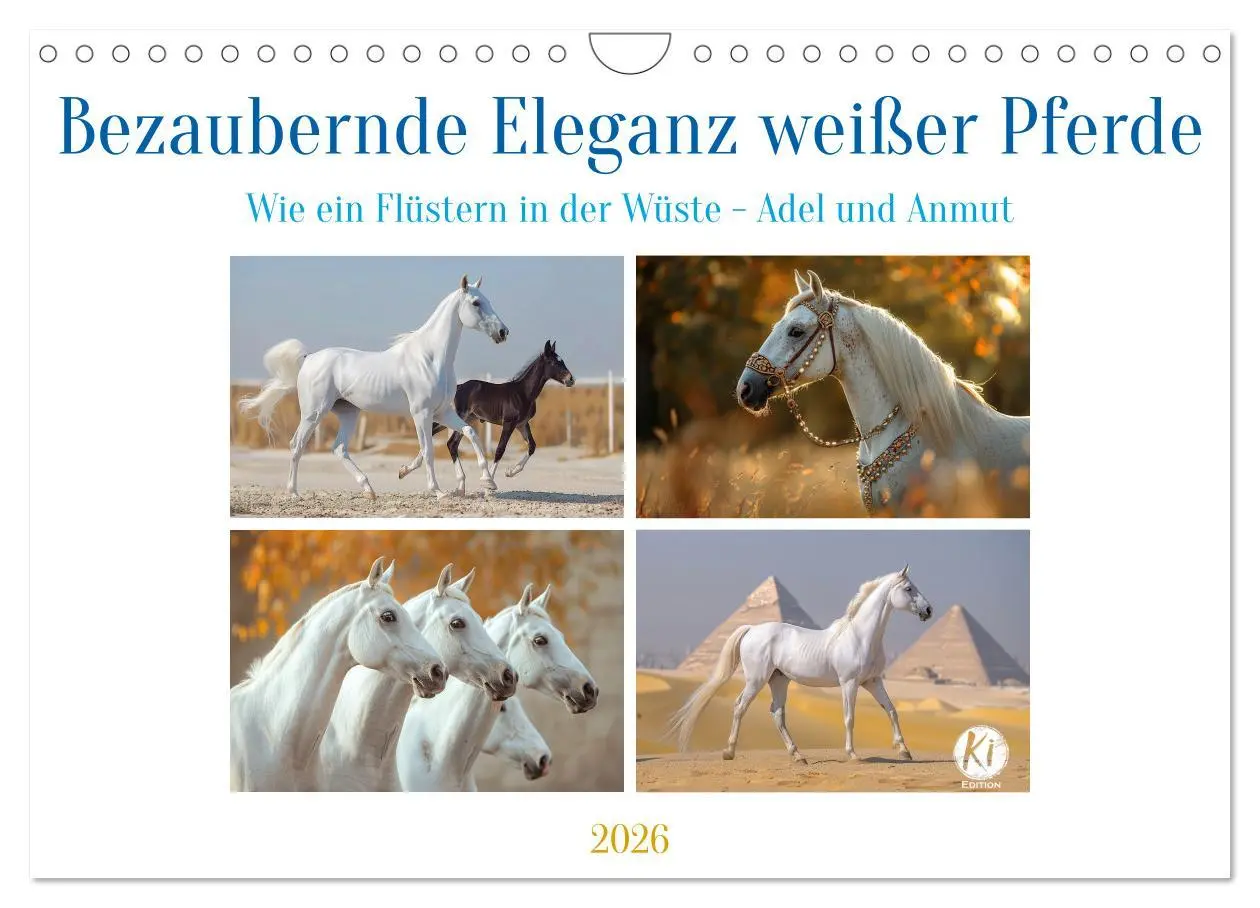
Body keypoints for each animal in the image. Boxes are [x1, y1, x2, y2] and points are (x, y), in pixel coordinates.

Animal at [238, 274, 508, 499]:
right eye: (476, 303)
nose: (503, 332)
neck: (430, 358)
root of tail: (309, 358)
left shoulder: (443, 412)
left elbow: (469, 433)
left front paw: (487, 482)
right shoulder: (421, 413)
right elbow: (428, 450)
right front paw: (438, 492)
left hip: (348, 412)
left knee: (339, 448)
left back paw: (369, 490)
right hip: (314, 413)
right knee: (297, 445)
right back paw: (294, 493)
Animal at [424, 340, 575, 494]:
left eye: (562, 361)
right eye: (554, 363)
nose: (570, 379)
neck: (523, 393)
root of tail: (458, 387)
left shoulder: (522, 424)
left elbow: (532, 446)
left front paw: (510, 472)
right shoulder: (509, 423)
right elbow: (500, 449)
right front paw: (489, 484)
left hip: (465, 420)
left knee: (450, 442)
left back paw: (458, 487)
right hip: (458, 417)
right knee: (448, 441)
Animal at [669, 567, 933, 764]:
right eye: (909, 588)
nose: (928, 610)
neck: (861, 636)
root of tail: (751, 629)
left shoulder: (873, 681)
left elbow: (891, 710)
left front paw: (904, 750)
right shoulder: (849, 683)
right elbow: (849, 717)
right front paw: (853, 754)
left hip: (778, 680)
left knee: (777, 713)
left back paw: (798, 756)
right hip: (757, 679)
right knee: (740, 706)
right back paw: (729, 752)